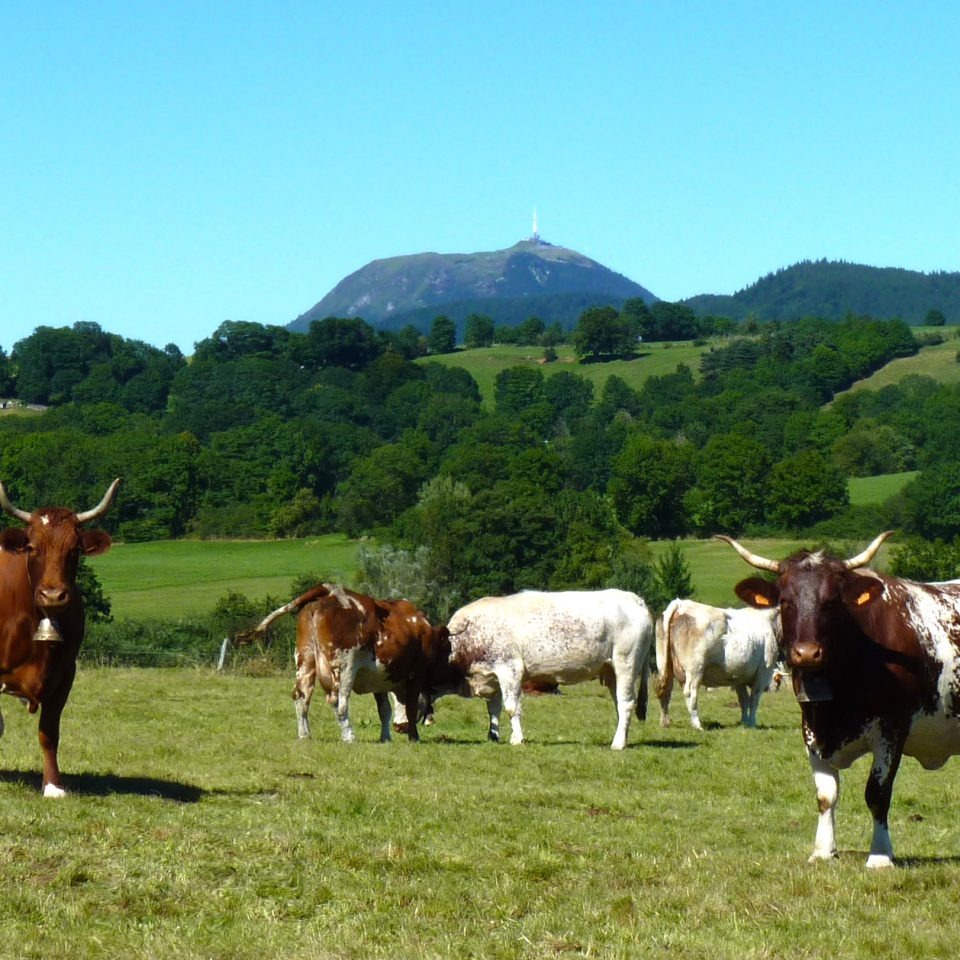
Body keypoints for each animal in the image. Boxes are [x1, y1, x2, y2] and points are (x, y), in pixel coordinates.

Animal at [0, 478, 119, 796]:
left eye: (75, 549)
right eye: (31, 547)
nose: (52, 595)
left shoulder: (66, 674)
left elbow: (49, 732)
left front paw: (53, 786)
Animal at [240, 584, 450, 744]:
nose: (401, 728)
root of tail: (330, 590)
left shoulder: (379, 679)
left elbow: (385, 710)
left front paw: (385, 738)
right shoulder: (417, 674)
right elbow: (411, 707)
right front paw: (414, 737)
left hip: (305, 659)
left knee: (301, 696)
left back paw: (304, 734)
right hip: (345, 666)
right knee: (338, 702)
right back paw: (349, 736)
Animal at [436, 584, 652, 752]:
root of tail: (634, 599)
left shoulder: (509, 669)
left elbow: (511, 707)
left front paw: (517, 739)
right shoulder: (492, 678)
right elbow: (493, 709)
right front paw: (493, 736)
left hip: (626, 664)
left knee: (626, 703)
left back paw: (618, 744)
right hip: (611, 672)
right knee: (619, 705)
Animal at [656, 600, 784, 728]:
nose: (776, 687)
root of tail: (681, 604)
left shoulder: (739, 677)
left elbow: (744, 700)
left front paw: (744, 722)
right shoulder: (763, 671)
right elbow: (754, 700)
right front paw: (752, 723)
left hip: (666, 667)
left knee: (666, 691)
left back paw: (665, 722)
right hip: (695, 669)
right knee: (690, 693)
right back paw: (697, 724)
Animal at [716, 532, 960, 872]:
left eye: (831, 602)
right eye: (785, 601)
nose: (806, 653)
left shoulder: (891, 730)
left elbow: (877, 793)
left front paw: (880, 855)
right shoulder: (811, 729)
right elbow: (826, 795)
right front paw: (823, 850)